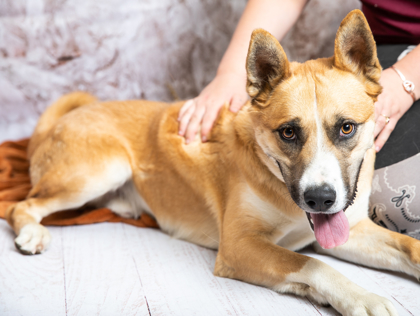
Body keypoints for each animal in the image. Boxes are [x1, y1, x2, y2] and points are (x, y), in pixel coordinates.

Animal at [6, 9, 420, 316]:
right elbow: (313, 264)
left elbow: (409, 246)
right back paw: (33, 232)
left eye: (347, 127)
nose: (319, 199)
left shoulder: (352, 228)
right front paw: (365, 298)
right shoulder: (239, 246)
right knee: (21, 205)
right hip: (101, 170)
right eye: (288, 132)